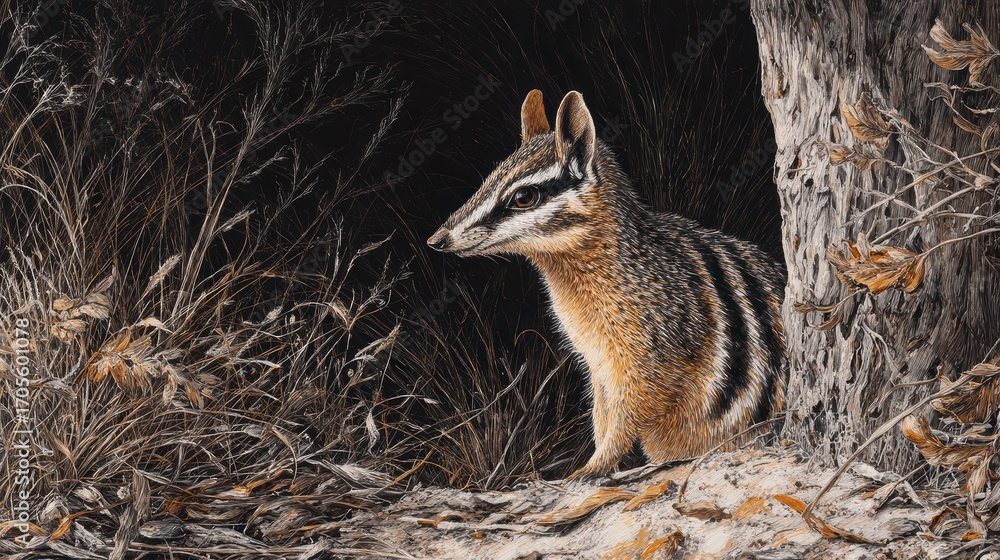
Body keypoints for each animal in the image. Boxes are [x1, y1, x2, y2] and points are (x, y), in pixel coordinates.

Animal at [428, 90, 787, 478]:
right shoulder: (597, 364)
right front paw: (597, 457)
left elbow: (630, 414)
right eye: (487, 181)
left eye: (524, 196)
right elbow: (602, 412)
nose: (437, 239)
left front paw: (594, 465)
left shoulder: (651, 360)